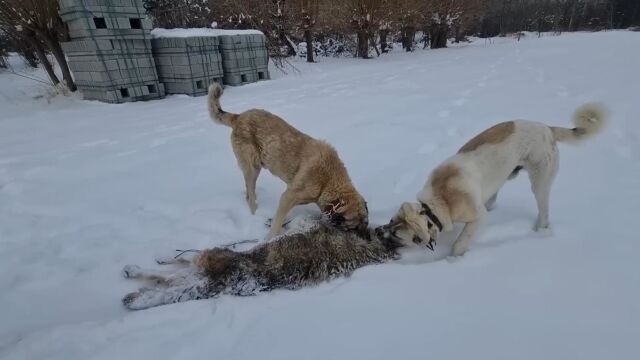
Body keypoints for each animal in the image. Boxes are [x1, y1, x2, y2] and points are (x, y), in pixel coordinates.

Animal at [205, 83, 364, 238]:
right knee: (250, 195)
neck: (328, 181)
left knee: (249, 192)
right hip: (253, 167)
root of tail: (238, 117)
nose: (366, 237)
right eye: (352, 228)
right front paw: (270, 238)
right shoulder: (287, 198)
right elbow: (277, 224)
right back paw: (254, 214)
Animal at [376, 102, 608, 258]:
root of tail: (547, 128)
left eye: (397, 235)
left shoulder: (478, 218)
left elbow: (461, 240)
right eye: (391, 220)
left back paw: (540, 229)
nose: (377, 231)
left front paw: (454, 257)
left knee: (543, 208)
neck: (437, 202)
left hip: (540, 180)